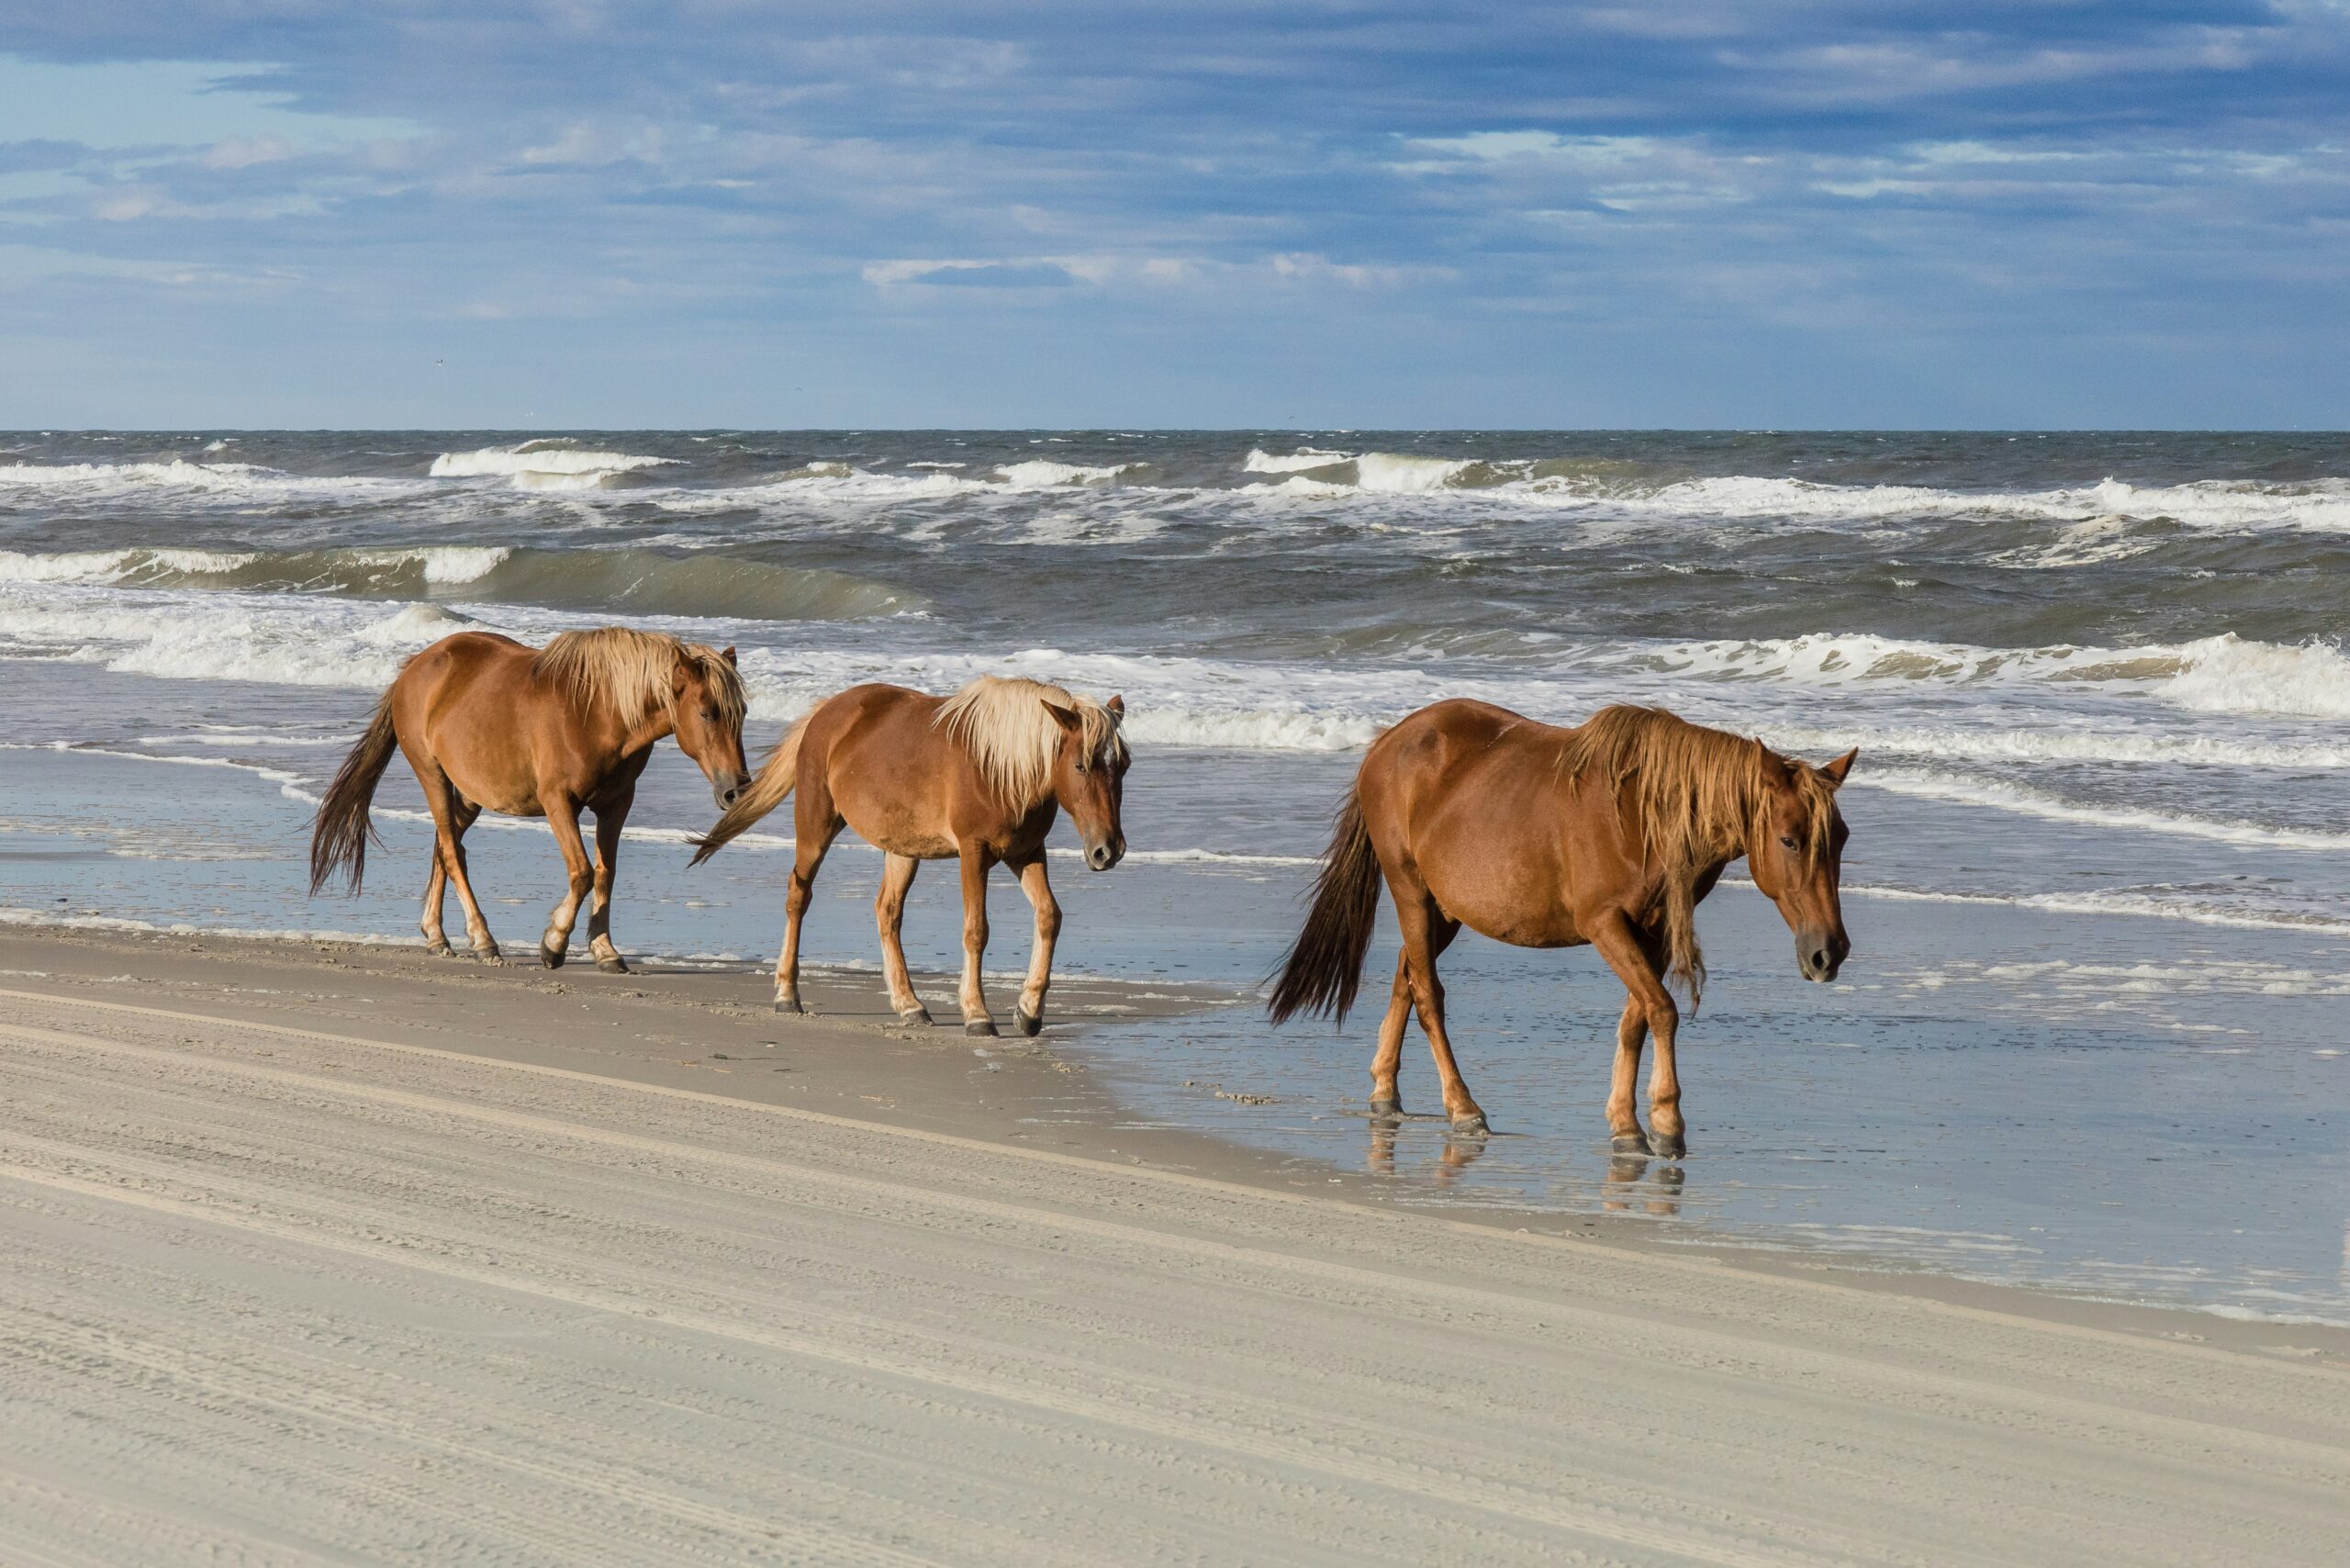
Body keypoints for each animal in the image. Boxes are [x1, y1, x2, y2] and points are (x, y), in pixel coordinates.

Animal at [303, 621, 742, 969]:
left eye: (742, 714)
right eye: (707, 713)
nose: (735, 789)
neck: (598, 712)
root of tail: (416, 665)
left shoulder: (616, 804)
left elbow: (605, 874)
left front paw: (605, 950)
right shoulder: (558, 802)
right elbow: (582, 873)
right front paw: (553, 944)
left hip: (470, 793)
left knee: (443, 845)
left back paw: (436, 935)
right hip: (433, 776)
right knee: (452, 851)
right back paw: (483, 940)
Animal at [686, 677, 1127, 1034]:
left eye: (1122, 765)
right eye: (1081, 765)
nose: (1109, 850)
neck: (1001, 766)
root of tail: (826, 711)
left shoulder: (1027, 852)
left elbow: (1049, 917)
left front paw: (1029, 1011)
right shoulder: (974, 852)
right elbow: (976, 930)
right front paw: (977, 1014)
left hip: (901, 849)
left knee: (887, 912)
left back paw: (909, 1005)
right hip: (815, 826)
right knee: (798, 897)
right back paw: (787, 995)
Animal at [1269, 705, 1852, 1160]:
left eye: (1841, 838)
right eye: (1790, 839)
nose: (1830, 952)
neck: (1642, 813)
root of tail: (1388, 742)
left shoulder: (1654, 932)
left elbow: (1637, 1020)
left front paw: (1625, 1122)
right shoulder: (1604, 923)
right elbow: (1662, 1010)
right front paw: (1666, 1123)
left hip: (1445, 909)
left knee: (1406, 979)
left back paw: (1385, 1092)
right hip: (1410, 888)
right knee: (1428, 993)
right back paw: (1463, 1108)